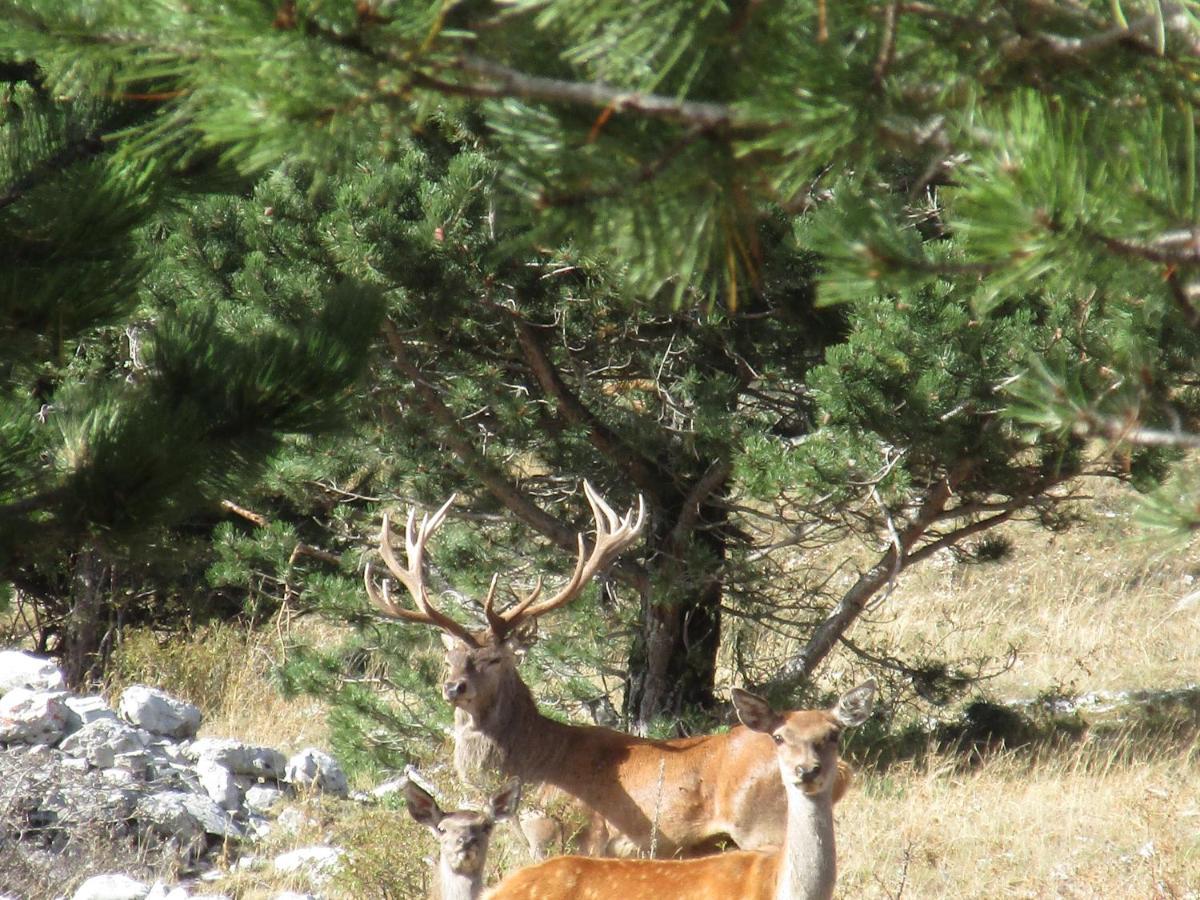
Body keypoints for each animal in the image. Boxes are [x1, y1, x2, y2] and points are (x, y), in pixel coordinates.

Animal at [364, 487, 854, 859]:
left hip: (763, 825)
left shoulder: (558, 836)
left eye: (495, 659)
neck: (535, 765)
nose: (453, 687)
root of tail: (845, 771)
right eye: (449, 655)